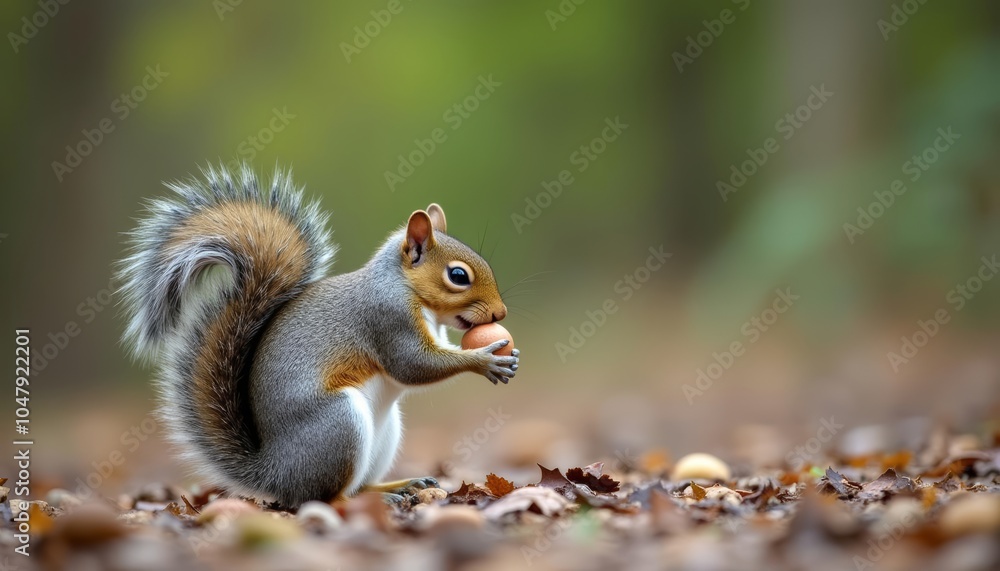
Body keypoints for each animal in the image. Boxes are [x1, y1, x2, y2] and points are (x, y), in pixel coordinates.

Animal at [120, 164, 520, 504]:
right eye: (458, 275)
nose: (500, 313)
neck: (406, 288)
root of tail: (276, 473)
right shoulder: (387, 319)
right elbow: (412, 365)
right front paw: (484, 360)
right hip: (339, 425)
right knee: (327, 497)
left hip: (385, 432)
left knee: (358, 485)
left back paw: (397, 485)